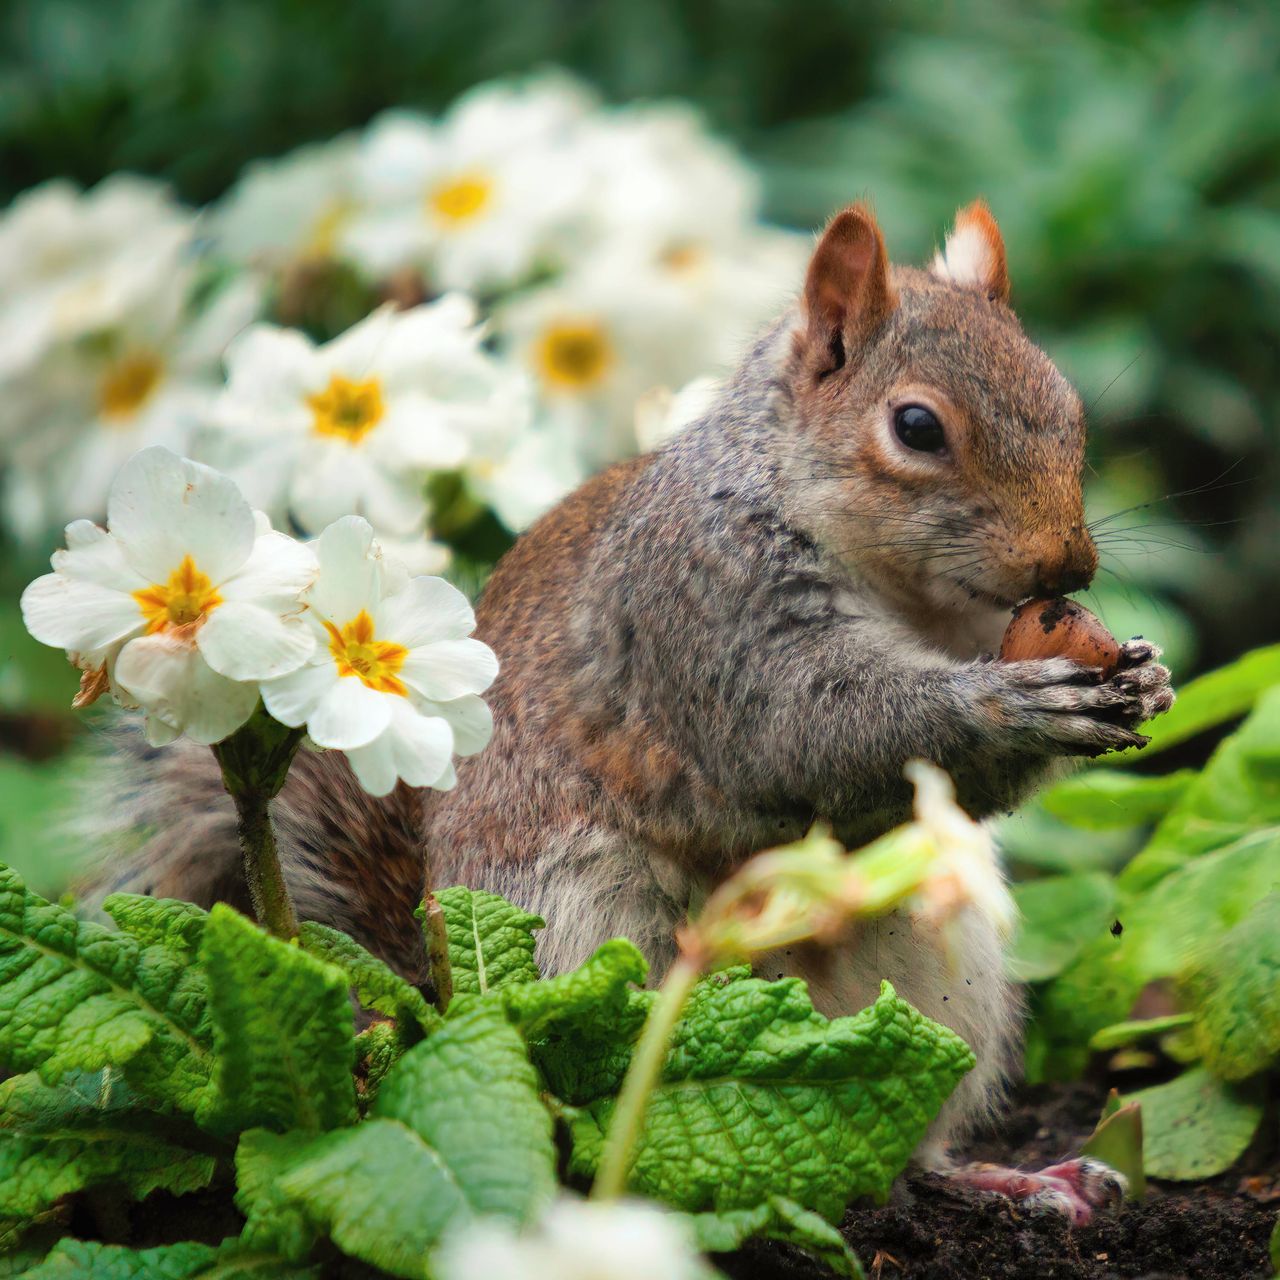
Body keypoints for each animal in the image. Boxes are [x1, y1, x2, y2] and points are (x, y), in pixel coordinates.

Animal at [86, 200, 1174, 1221]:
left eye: (1066, 404)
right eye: (916, 428)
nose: (1068, 565)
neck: (904, 591)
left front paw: (1145, 673)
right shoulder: (702, 613)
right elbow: (812, 735)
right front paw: (1013, 704)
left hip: (942, 970)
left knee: (904, 1131)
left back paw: (1008, 1177)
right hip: (599, 947)